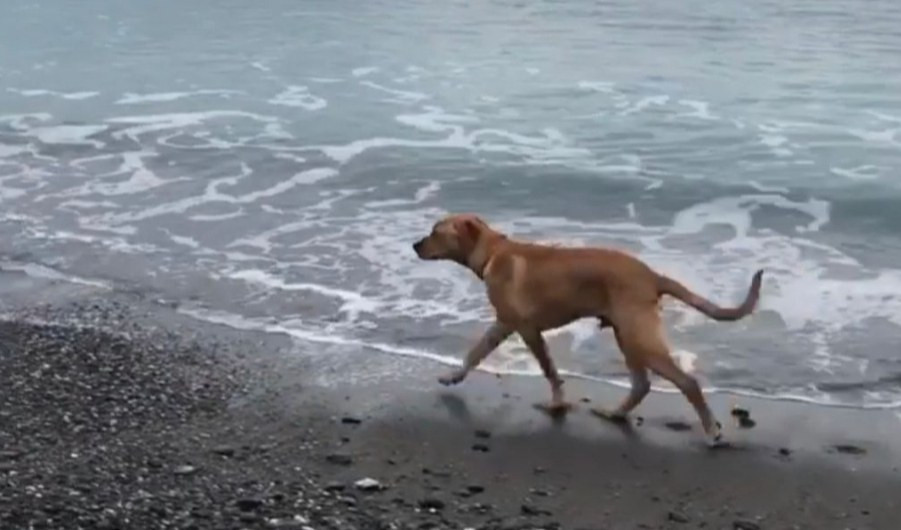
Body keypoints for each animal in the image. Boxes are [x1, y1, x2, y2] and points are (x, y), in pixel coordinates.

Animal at [414, 212, 760, 444]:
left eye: (435, 232)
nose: (415, 245)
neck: (493, 254)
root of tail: (652, 275)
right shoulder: (503, 325)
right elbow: (474, 354)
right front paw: (453, 376)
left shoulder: (526, 329)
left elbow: (549, 370)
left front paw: (557, 403)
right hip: (626, 335)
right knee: (641, 384)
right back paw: (615, 413)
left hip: (638, 337)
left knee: (687, 382)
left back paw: (711, 430)